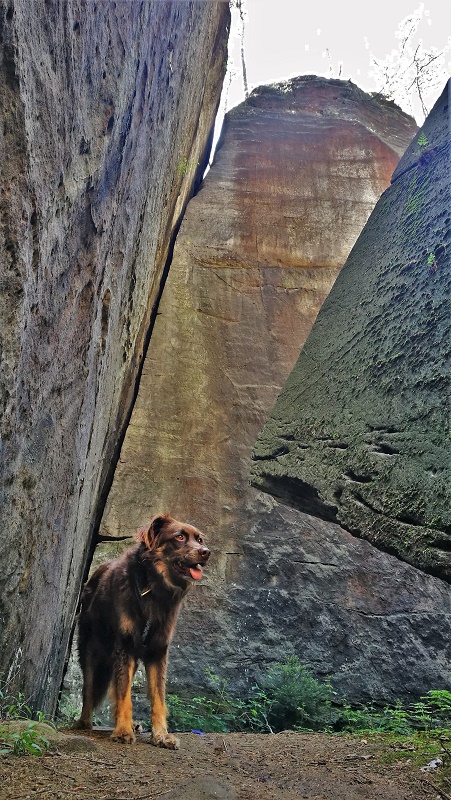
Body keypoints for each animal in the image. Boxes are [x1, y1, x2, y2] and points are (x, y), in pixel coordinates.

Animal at [74, 516, 210, 748]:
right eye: (179, 537)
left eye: (199, 539)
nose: (206, 552)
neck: (154, 588)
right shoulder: (125, 647)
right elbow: (124, 694)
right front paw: (122, 730)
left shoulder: (157, 650)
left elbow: (158, 698)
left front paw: (161, 735)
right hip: (92, 650)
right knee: (89, 687)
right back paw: (85, 722)